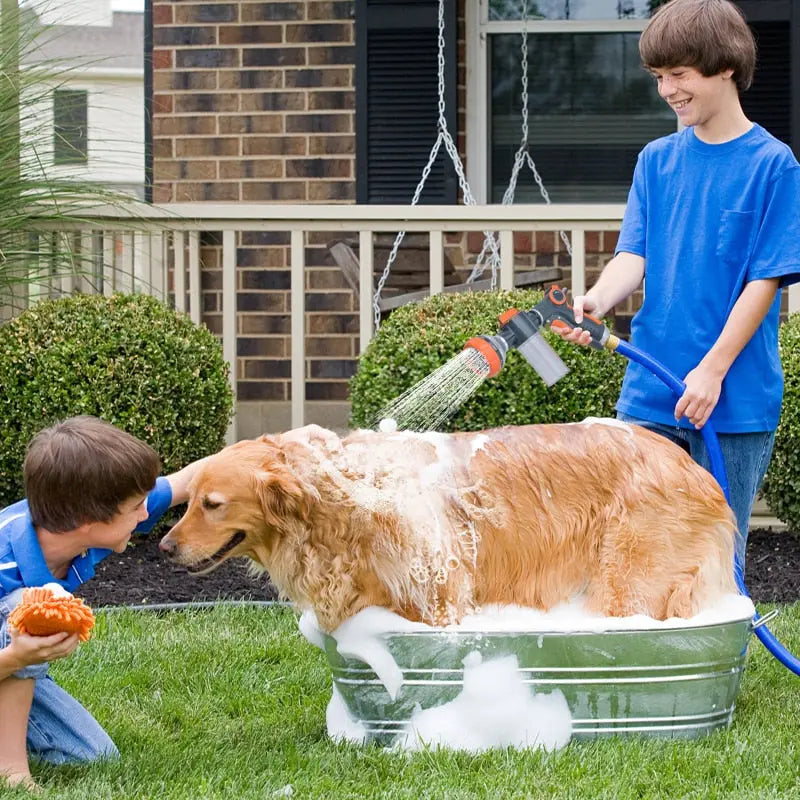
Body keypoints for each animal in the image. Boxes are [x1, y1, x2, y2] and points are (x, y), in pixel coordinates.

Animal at [161, 422, 736, 636]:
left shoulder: (441, 600)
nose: (164, 547)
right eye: (189, 502)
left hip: (630, 581)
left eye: (212, 505)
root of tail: (695, 468)